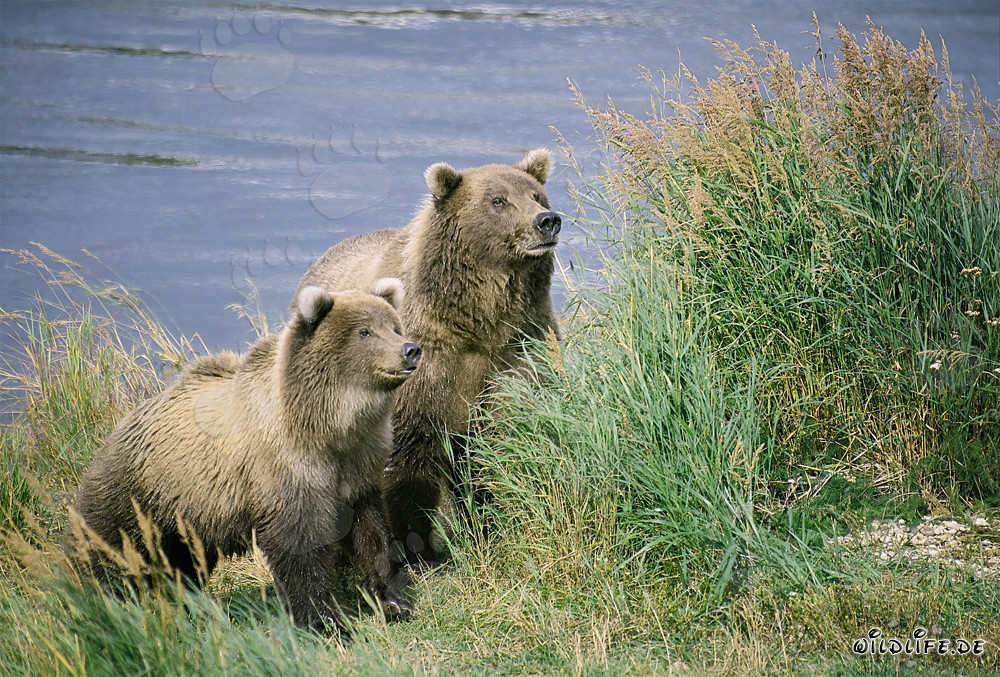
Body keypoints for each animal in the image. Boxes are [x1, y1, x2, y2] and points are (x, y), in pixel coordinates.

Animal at [69, 279, 421, 632]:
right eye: (364, 332)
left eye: (394, 326)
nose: (410, 349)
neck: (326, 426)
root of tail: (117, 428)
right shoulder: (285, 466)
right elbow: (300, 545)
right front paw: (327, 619)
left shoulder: (359, 465)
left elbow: (371, 531)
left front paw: (392, 599)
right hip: (138, 492)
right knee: (112, 550)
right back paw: (105, 601)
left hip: (187, 513)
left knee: (183, 562)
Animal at [294, 148, 561, 568]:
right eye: (498, 200)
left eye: (537, 195)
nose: (547, 221)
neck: (478, 322)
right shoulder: (423, 364)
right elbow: (409, 459)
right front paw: (417, 546)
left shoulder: (519, 349)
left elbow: (502, 437)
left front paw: (488, 526)